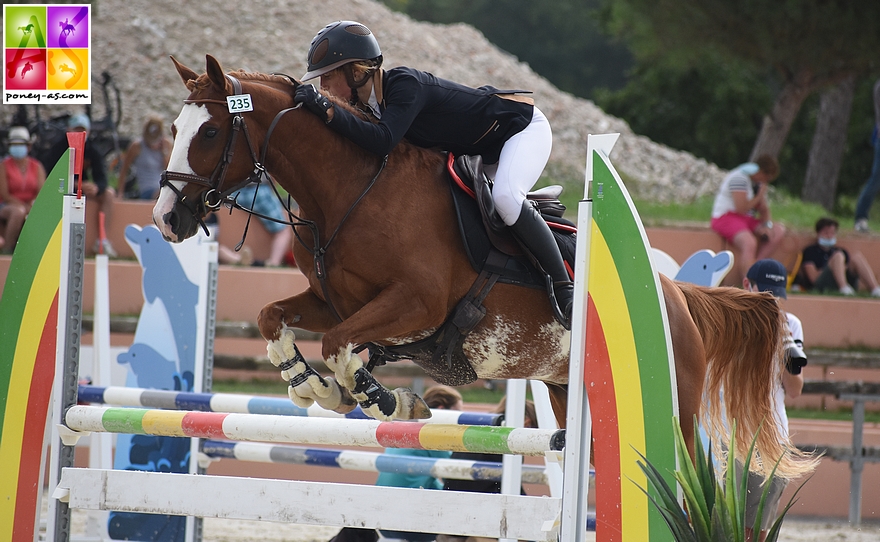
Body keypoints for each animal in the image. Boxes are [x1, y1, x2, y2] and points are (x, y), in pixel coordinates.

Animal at [153, 56, 820, 480]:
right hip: (566, 389)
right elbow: (275, 318)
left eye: (209, 131)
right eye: (174, 126)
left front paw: (382, 399)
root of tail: (677, 295)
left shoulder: (416, 303)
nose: (166, 218)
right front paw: (310, 384)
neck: (349, 190)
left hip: (674, 403)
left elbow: (342, 345)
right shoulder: (333, 300)